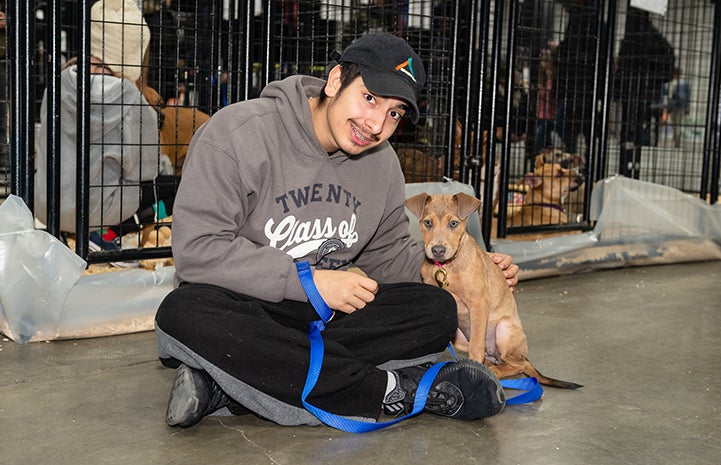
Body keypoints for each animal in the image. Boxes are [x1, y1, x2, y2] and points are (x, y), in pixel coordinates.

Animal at [404, 192, 580, 388]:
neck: (446, 267)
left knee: (518, 365)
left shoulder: (479, 303)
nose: (438, 250)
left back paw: (495, 371)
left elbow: (476, 347)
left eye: (453, 223)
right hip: (459, 338)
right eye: (428, 222)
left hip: (504, 333)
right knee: (491, 358)